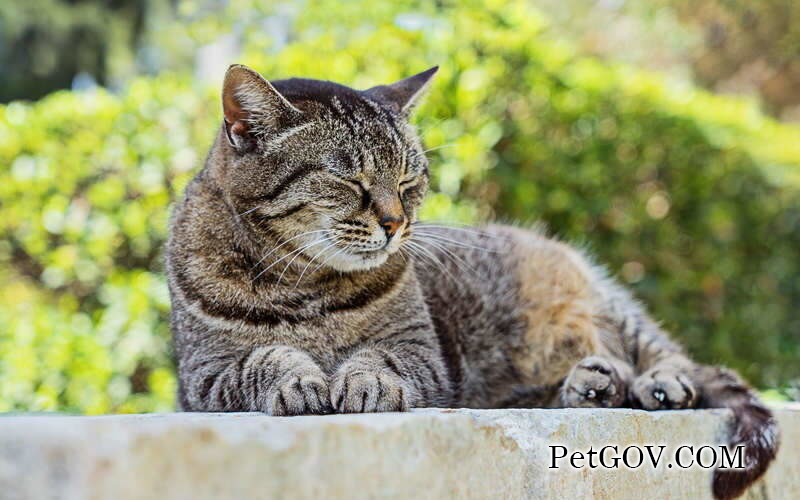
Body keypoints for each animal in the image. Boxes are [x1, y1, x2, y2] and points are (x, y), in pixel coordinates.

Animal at [164, 64, 780, 498]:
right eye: (349, 182)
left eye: (408, 180)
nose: (396, 223)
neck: (308, 284)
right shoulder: (203, 376)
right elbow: (263, 357)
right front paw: (298, 377)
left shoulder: (421, 352)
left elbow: (378, 358)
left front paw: (366, 381)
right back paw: (595, 384)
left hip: (604, 306)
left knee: (676, 358)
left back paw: (658, 384)